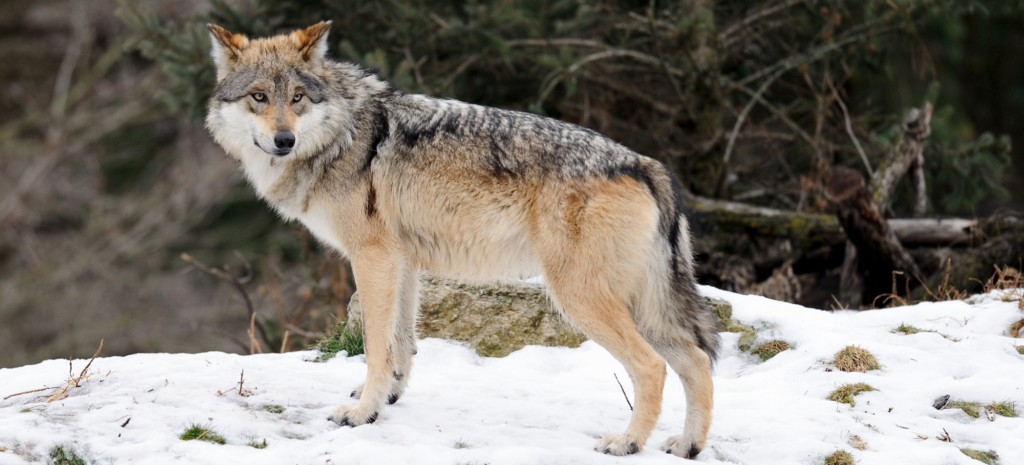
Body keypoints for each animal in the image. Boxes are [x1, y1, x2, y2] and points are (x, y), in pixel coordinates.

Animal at [205, 21, 719, 458]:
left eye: (297, 97)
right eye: (258, 96)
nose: (284, 140)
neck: (343, 133)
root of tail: (646, 165)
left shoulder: (373, 258)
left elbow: (374, 344)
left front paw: (361, 412)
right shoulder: (402, 262)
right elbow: (400, 343)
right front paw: (388, 398)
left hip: (582, 298)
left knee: (653, 367)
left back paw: (627, 443)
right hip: (640, 305)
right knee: (696, 361)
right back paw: (688, 446)